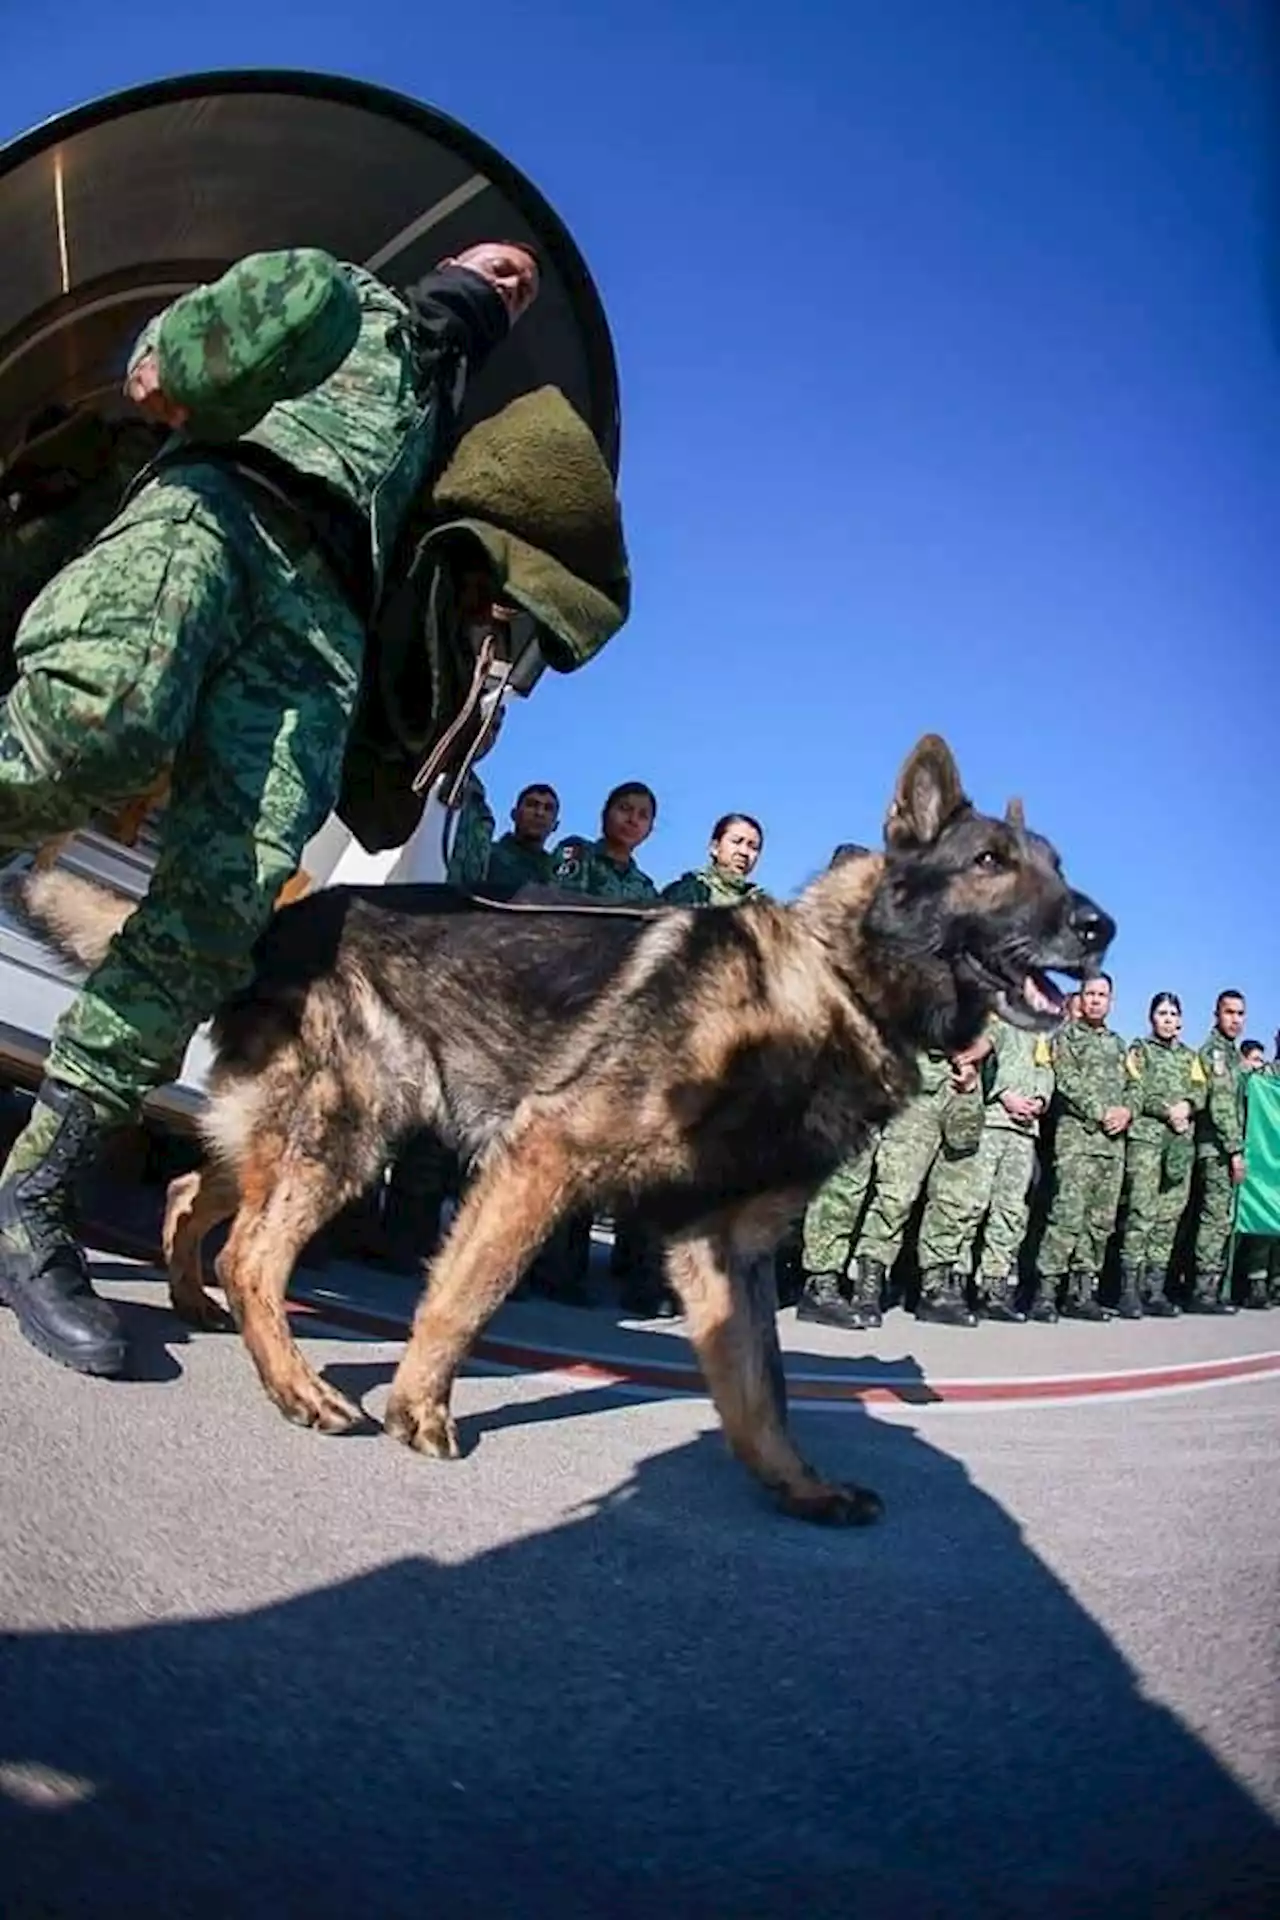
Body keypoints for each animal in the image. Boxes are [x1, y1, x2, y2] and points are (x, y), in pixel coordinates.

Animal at [12, 737, 1113, 1528]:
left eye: (1058, 869)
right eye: (989, 863)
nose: (1100, 926)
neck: (834, 981)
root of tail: (278, 921)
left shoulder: (724, 1251)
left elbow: (761, 1387)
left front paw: (797, 1485)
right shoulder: (545, 1157)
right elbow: (465, 1298)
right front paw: (420, 1411)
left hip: (305, 1132)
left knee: (194, 1191)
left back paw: (196, 1302)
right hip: (354, 1126)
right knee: (254, 1251)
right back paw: (294, 1385)